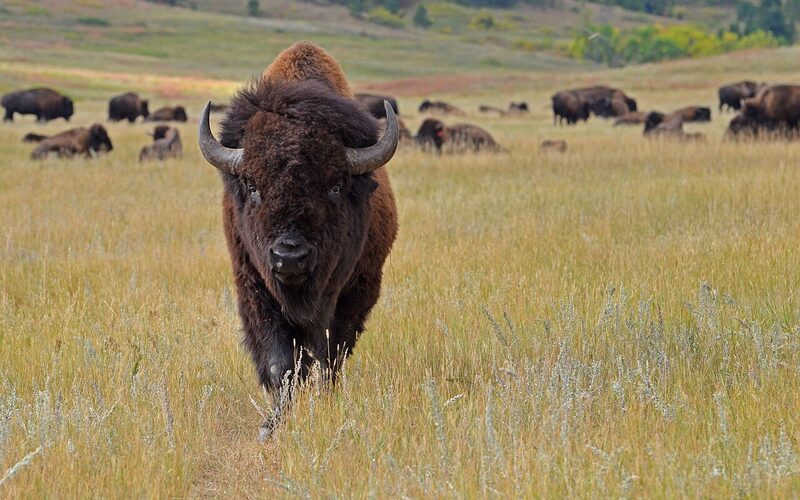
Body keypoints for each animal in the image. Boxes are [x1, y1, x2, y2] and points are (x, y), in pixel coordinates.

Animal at [197, 42, 399, 437]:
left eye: (335, 186)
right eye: (252, 184)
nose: (289, 257)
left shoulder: (354, 293)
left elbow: (331, 356)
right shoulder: (255, 288)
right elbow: (281, 364)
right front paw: (270, 426)